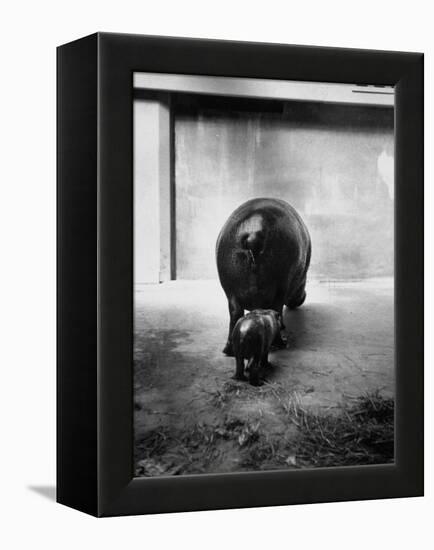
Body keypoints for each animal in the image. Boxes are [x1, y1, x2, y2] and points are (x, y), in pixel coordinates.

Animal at [215, 198, 310, 358]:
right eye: (304, 278)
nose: (304, 296)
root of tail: (254, 234)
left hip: (230, 292)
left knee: (234, 315)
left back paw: (228, 351)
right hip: (280, 288)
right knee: (277, 311)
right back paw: (282, 344)